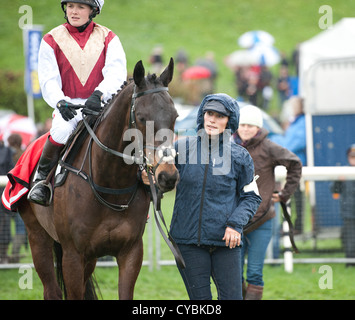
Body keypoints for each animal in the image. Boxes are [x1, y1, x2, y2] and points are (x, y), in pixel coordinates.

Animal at [16, 58, 179, 300]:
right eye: (141, 118)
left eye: (175, 116)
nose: (167, 175)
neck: (109, 184)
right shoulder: (73, 255)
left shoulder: (130, 252)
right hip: (37, 236)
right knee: (51, 289)